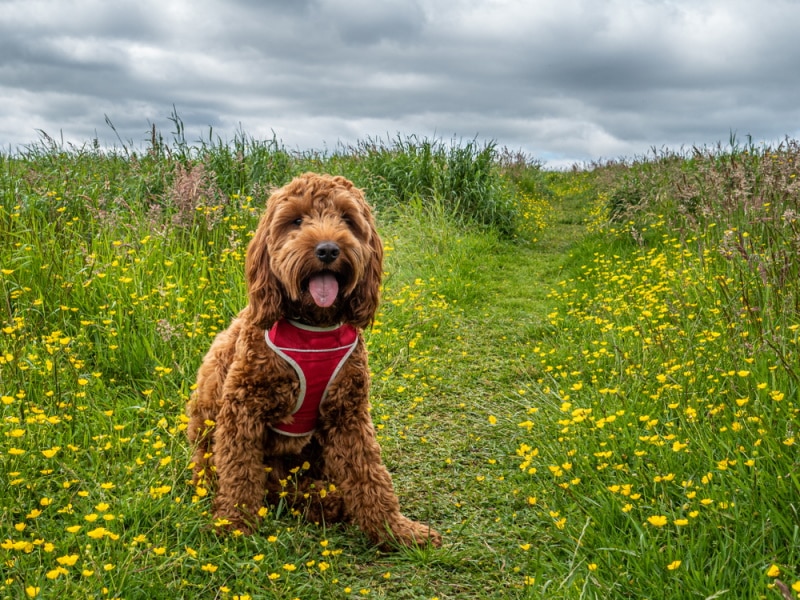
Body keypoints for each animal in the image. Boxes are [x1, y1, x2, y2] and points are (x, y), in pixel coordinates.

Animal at [187, 170, 440, 548]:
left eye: (347, 219)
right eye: (296, 221)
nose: (328, 249)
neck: (313, 326)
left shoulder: (348, 412)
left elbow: (370, 474)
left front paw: (395, 530)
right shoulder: (241, 409)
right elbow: (239, 473)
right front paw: (234, 525)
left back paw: (325, 499)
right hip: (208, 426)